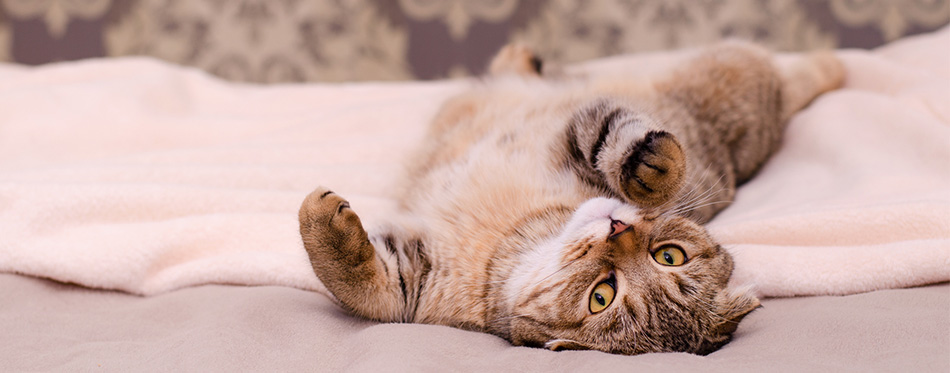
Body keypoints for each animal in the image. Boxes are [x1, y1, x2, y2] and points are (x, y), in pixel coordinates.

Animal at [302, 42, 844, 354]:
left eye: (600, 297)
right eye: (670, 255)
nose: (620, 229)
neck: (517, 234)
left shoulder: (413, 284)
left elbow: (369, 294)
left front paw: (318, 219)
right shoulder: (578, 130)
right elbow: (620, 137)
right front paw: (653, 168)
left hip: (736, 74)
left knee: (795, 72)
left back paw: (832, 64)